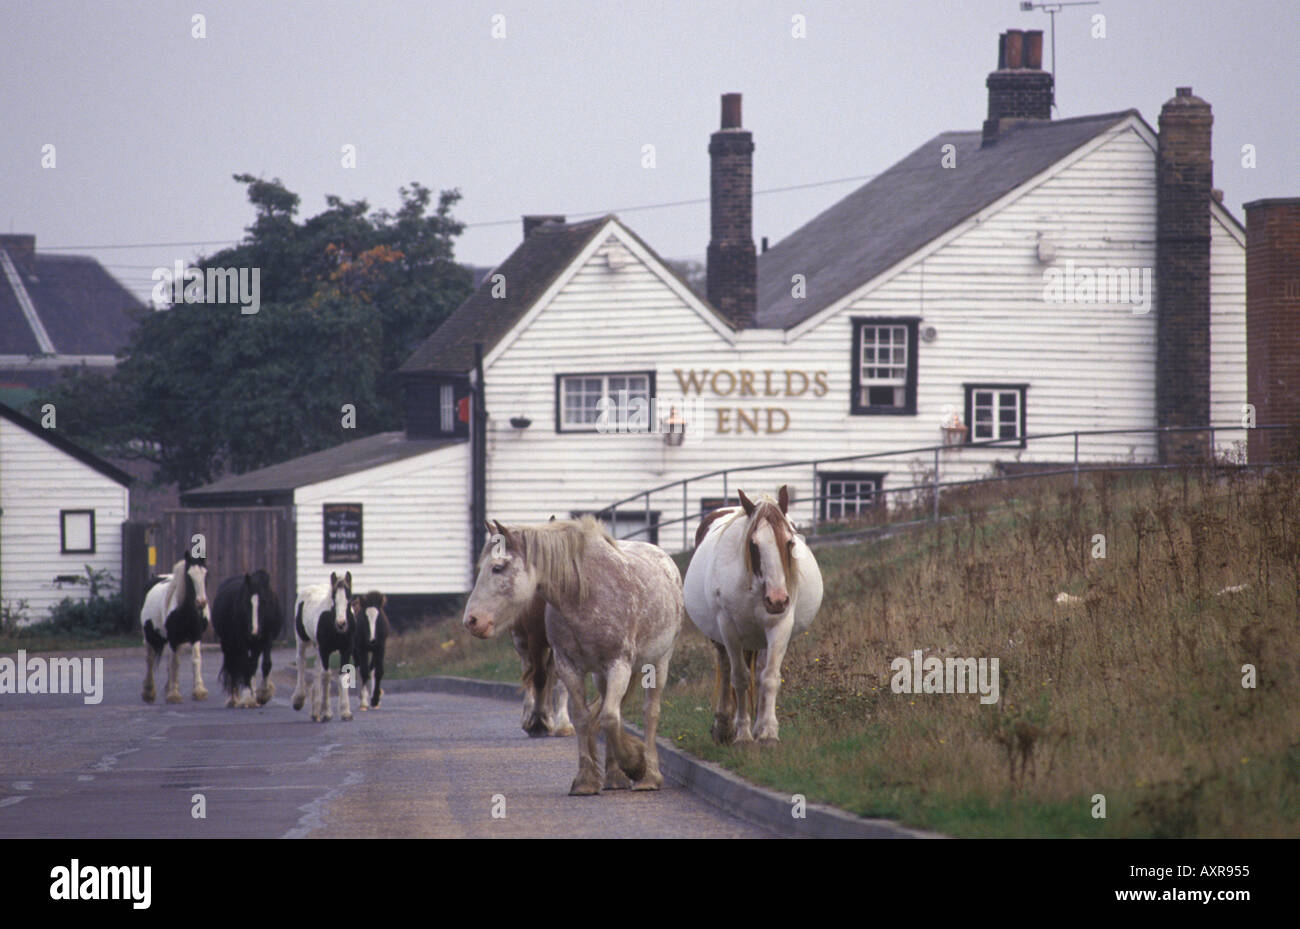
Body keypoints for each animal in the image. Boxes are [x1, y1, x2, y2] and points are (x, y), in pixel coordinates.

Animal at [141, 553, 210, 706]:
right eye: (189, 576)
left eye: (205, 574)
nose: (201, 603)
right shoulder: (173, 638)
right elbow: (175, 664)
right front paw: (174, 694)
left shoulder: (195, 637)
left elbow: (195, 660)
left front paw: (199, 691)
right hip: (150, 636)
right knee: (149, 660)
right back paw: (149, 692)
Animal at [211, 571, 283, 706]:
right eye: (246, 602)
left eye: (265, 601)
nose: (254, 632)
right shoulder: (241, 640)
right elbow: (245, 665)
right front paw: (248, 696)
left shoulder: (267, 638)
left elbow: (264, 664)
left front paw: (262, 695)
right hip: (228, 644)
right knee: (233, 666)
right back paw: (233, 698)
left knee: (249, 665)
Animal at [292, 571, 356, 722]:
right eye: (333, 599)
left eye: (349, 599)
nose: (341, 624)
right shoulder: (325, 649)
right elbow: (326, 676)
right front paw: (326, 712)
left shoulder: (346, 649)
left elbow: (343, 676)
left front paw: (345, 712)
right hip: (302, 640)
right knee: (301, 662)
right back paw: (299, 700)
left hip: (318, 647)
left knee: (316, 668)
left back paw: (316, 711)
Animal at [465, 519, 686, 795]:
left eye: (498, 567)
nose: (472, 621)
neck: (585, 594)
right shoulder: (569, 666)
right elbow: (584, 717)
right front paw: (586, 780)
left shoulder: (619, 665)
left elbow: (609, 717)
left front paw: (635, 764)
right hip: (601, 676)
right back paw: (614, 776)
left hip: (658, 663)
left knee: (650, 713)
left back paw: (649, 777)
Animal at [681, 485, 821, 743]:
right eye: (753, 545)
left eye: (789, 542)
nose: (777, 600)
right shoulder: (728, 628)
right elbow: (739, 678)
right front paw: (742, 734)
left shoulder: (780, 626)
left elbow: (769, 677)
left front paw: (767, 732)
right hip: (722, 636)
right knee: (726, 667)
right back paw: (724, 725)